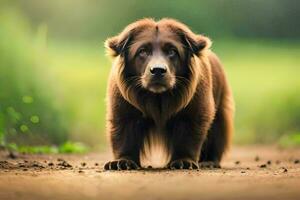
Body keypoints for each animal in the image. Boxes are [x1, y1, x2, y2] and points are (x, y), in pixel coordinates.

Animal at [104, 18, 233, 170]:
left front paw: (184, 161)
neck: (158, 97)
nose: (158, 70)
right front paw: (123, 161)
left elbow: (190, 132)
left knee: (217, 131)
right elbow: (124, 131)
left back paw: (209, 161)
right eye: (142, 51)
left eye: (172, 51)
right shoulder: (123, 104)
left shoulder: (195, 105)